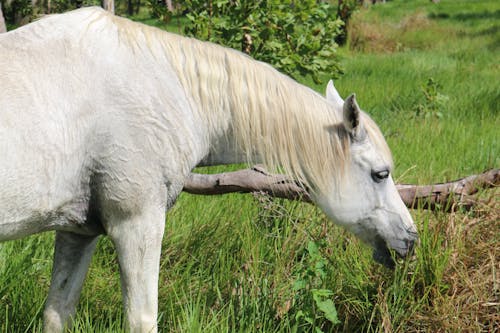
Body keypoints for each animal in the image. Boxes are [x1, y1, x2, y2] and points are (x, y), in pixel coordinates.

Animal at [0, 7, 418, 332]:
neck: (164, 86)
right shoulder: (135, 225)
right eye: (380, 174)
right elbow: (142, 319)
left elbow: (57, 313)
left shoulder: (78, 231)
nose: (411, 238)